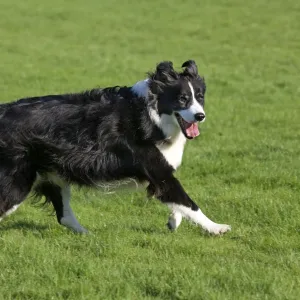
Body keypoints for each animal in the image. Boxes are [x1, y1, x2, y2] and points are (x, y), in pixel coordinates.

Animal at [0, 60, 231, 234]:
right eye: (182, 99)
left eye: (200, 97)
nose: (200, 116)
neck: (151, 115)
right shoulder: (158, 170)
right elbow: (187, 201)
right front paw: (217, 228)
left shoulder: (160, 175)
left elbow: (177, 202)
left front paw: (173, 221)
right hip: (18, 182)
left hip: (52, 175)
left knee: (64, 216)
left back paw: (87, 234)